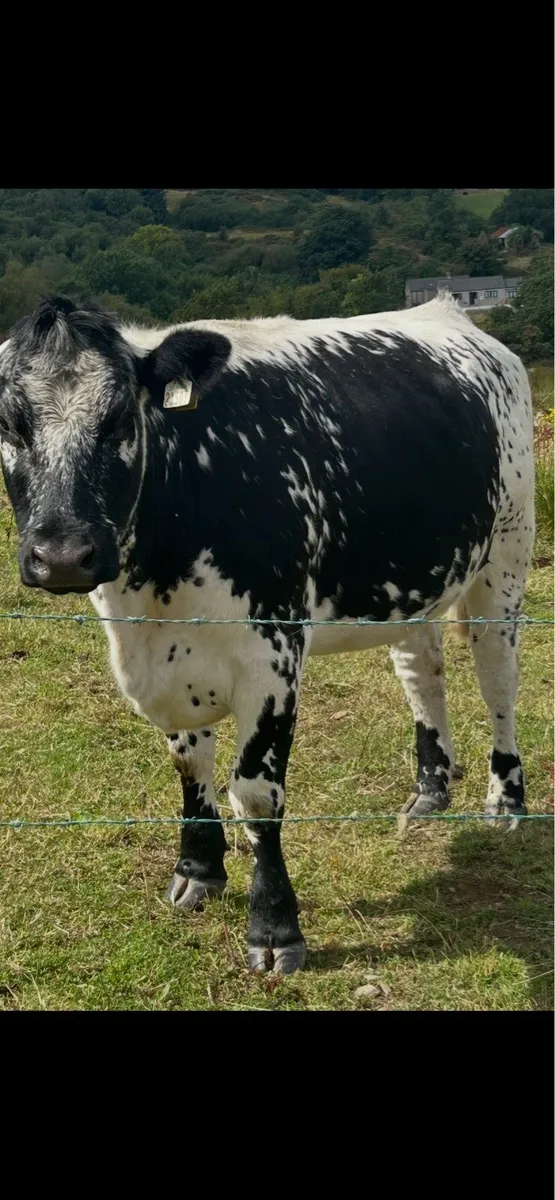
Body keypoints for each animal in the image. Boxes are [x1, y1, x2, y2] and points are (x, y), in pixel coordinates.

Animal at [0, 293, 535, 973]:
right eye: (9, 422)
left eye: (120, 418)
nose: (64, 556)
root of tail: (447, 310)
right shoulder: (170, 657)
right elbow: (189, 763)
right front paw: (198, 869)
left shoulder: (271, 656)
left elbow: (255, 793)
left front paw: (275, 928)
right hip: (413, 582)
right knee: (421, 672)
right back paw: (430, 791)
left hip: (506, 556)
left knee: (498, 681)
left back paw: (507, 802)